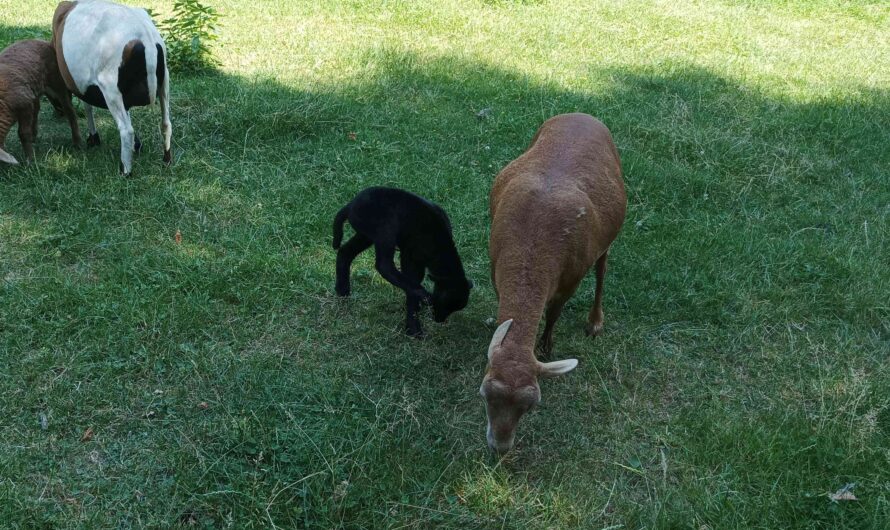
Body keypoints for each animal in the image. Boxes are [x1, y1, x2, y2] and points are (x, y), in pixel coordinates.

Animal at [52, 0, 171, 175]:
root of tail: (146, 40)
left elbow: (87, 106)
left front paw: (93, 138)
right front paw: (136, 145)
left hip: (111, 89)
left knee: (126, 130)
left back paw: (125, 171)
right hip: (164, 81)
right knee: (166, 123)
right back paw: (167, 159)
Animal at [333, 187, 473, 337]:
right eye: (444, 303)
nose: (439, 320)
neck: (439, 247)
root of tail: (351, 205)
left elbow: (412, 284)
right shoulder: (410, 258)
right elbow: (412, 284)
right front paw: (414, 327)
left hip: (366, 236)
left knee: (344, 253)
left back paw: (342, 291)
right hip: (384, 231)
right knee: (384, 266)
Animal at [482, 113, 626, 452]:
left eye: (531, 406)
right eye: (485, 393)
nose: (500, 447)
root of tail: (584, 114)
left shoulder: (569, 279)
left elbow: (554, 313)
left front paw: (546, 346)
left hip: (608, 238)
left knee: (602, 269)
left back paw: (595, 322)